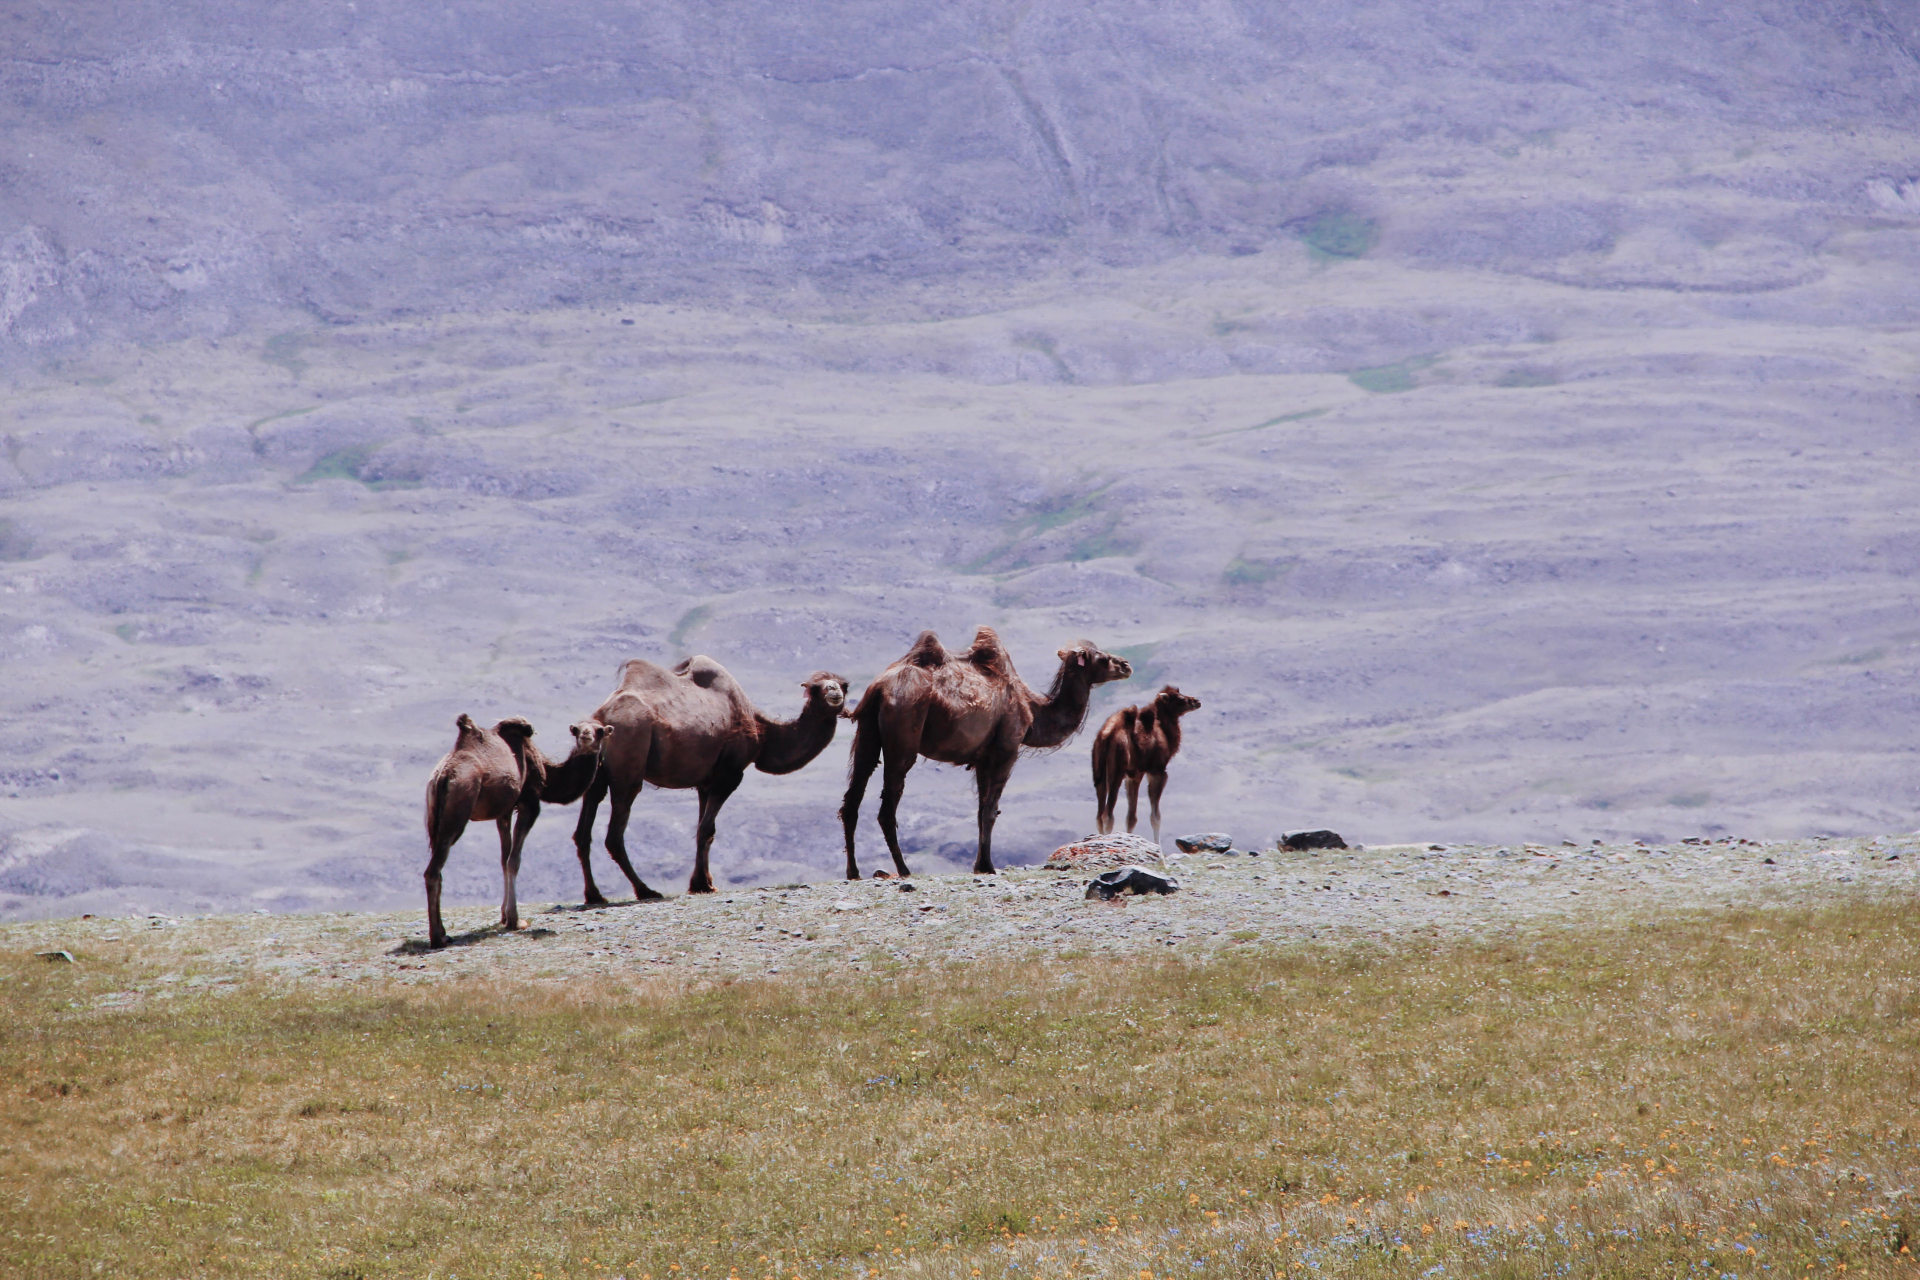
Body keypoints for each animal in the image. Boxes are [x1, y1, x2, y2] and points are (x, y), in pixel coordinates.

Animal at [421, 715, 612, 949]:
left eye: (600, 731)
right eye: (576, 730)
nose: (585, 736)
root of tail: (443, 776)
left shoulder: (503, 812)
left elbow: (504, 860)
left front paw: (504, 916)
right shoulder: (529, 803)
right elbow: (514, 860)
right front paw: (515, 920)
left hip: (434, 818)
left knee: (438, 869)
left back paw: (444, 933)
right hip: (456, 812)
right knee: (433, 871)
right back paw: (437, 938)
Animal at [569, 658, 850, 900]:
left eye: (844, 684)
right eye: (815, 688)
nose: (834, 691)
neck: (761, 730)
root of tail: (602, 718)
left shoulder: (705, 782)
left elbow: (703, 830)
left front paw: (703, 883)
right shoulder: (729, 775)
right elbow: (707, 829)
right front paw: (702, 885)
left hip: (596, 770)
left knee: (584, 828)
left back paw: (594, 895)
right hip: (629, 761)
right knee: (614, 834)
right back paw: (645, 890)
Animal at [840, 626, 1132, 880]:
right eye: (1102, 657)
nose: (1126, 665)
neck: (1032, 710)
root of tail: (878, 689)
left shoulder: (982, 759)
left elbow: (981, 811)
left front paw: (979, 864)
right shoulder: (1007, 750)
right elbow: (991, 810)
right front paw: (988, 866)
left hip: (867, 734)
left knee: (852, 799)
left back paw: (853, 872)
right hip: (903, 735)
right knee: (887, 808)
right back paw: (903, 869)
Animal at [1091, 685, 1202, 842]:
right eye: (1180, 698)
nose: (1196, 701)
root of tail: (1105, 736)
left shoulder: (1133, 774)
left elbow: (1131, 818)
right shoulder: (1157, 770)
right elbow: (1155, 817)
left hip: (1098, 771)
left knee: (1099, 815)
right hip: (1116, 769)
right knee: (1107, 815)